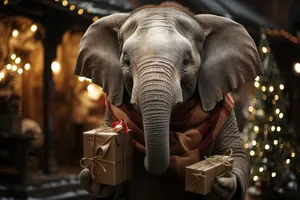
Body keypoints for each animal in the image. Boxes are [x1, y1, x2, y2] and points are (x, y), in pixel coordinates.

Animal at [74, 1, 262, 200]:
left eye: (186, 61)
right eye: (126, 61)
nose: (144, 157)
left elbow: (237, 151)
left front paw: (224, 182)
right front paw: (96, 177)